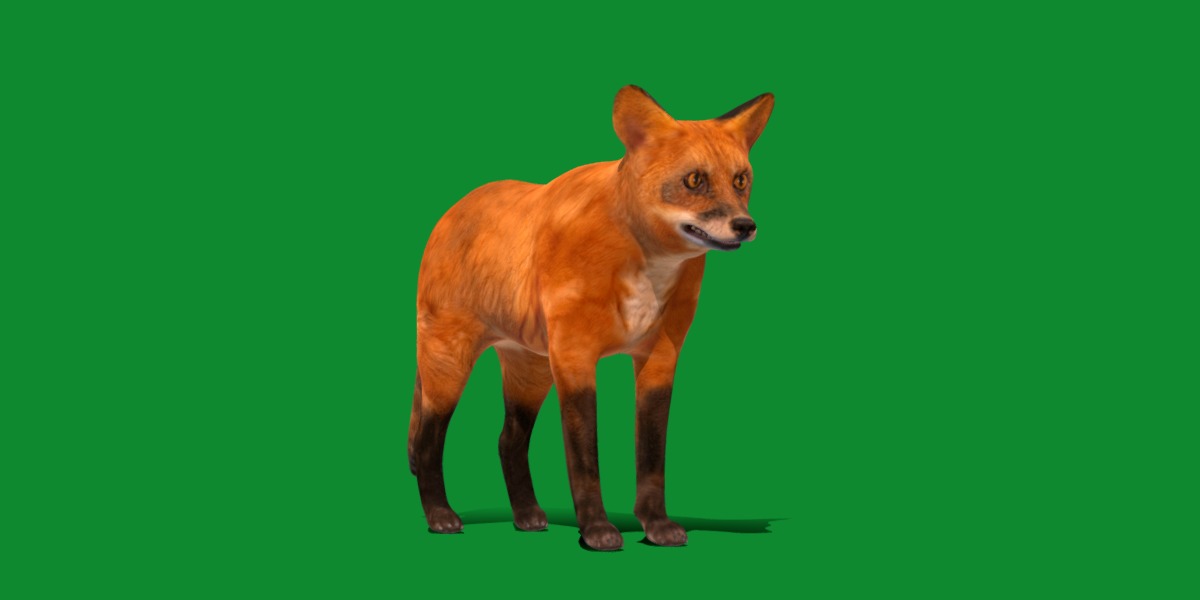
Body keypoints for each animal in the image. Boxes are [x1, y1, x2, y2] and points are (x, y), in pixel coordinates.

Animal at [410, 85, 774, 550]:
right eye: (695, 180)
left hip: (530, 373)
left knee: (508, 441)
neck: (646, 266)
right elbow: (584, 458)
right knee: (427, 442)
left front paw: (655, 525)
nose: (745, 225)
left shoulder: (660, 359)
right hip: (449, 367)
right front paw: (596, 529)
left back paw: (527, 515)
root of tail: (452, 209)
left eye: (740, 180)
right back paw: (440, 515)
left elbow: (651, 459)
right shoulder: (575, 356)